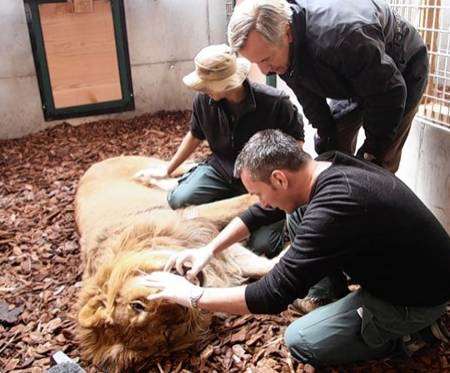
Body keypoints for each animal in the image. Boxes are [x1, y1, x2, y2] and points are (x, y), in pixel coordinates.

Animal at [75, 155, 278, 370]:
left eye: (136, 305)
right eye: (167, 332)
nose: (179, 305)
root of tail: (91, 167)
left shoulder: (193, 217)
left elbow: (247, 202)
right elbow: (261, 266)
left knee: (176, 168)